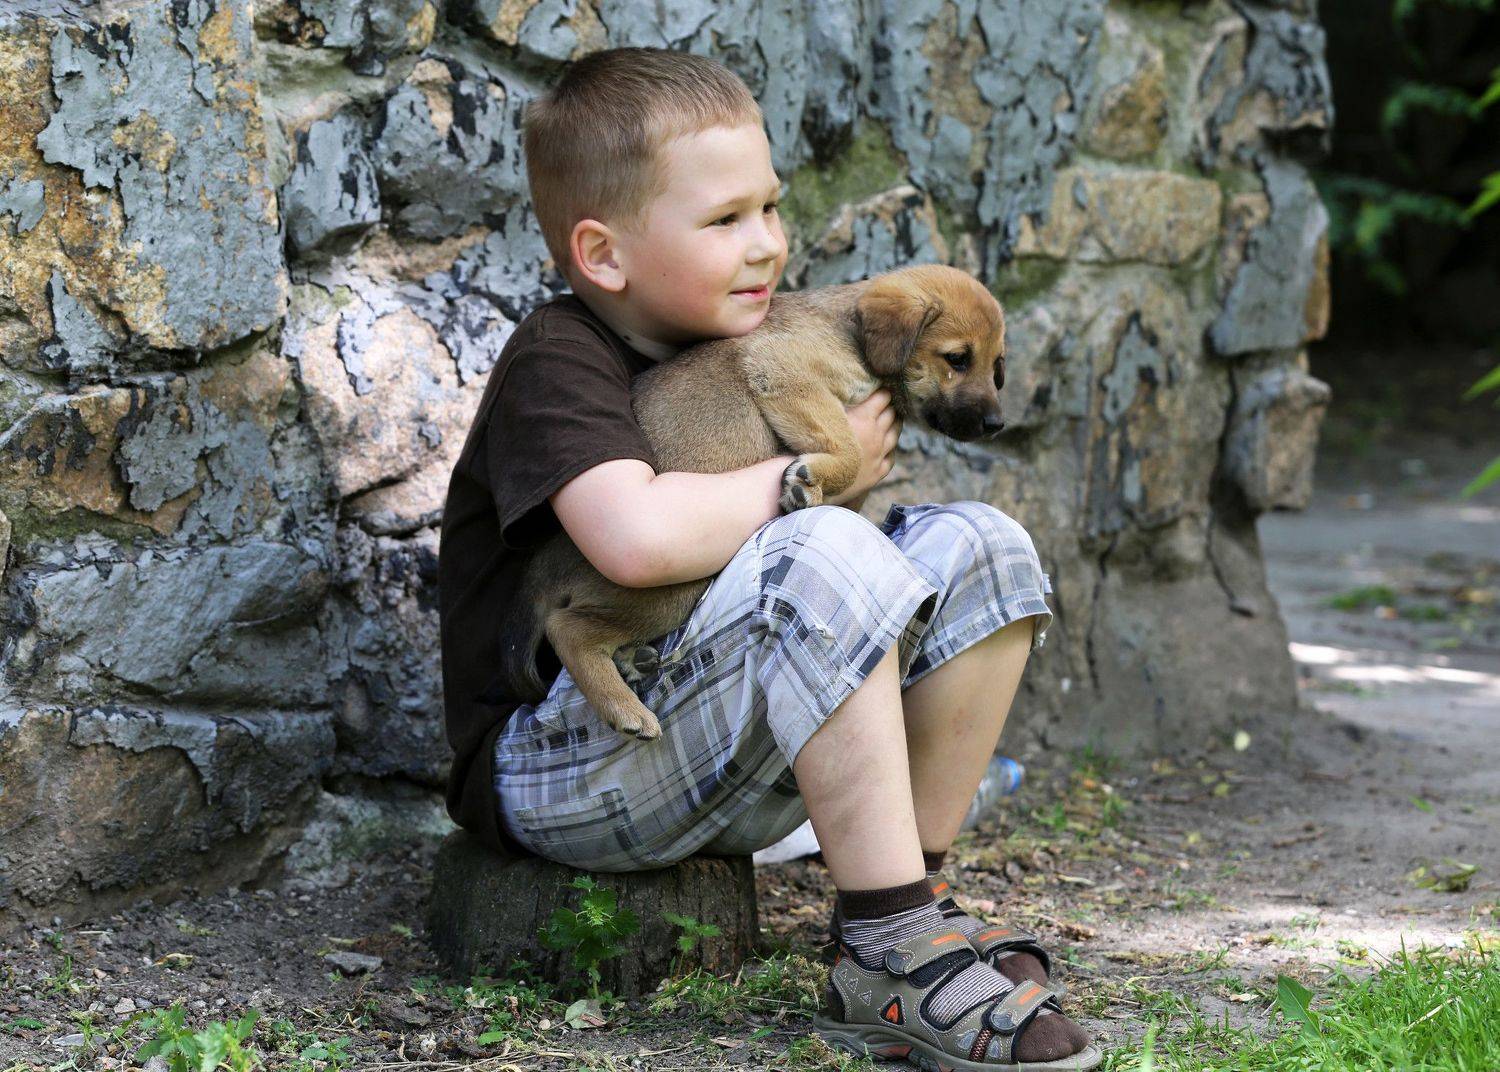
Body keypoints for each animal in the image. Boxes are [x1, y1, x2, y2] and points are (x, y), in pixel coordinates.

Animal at [496, 263, 1008, 740]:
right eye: (958, 358)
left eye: (996, 367)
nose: (998, 425)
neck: (852, 332)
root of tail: (548, 558)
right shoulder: (783, 370)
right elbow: (850, 449)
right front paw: (807, 480)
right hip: (668, 591)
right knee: (569, 629)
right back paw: (624, 708)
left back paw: (631, 663)